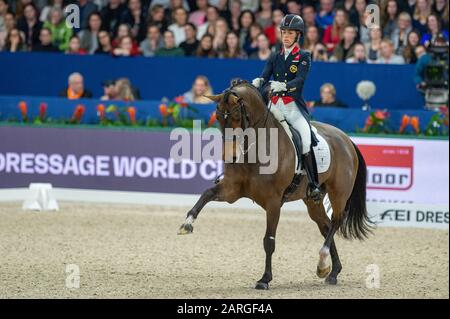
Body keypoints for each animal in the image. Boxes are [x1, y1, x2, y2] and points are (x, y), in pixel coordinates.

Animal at [178, 80, 374, 290]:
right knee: (325, 226)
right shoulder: (231, 191)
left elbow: (269, 241)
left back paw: (322, 263)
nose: (230, 156)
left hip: (339, 193)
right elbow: (206, 194)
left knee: (336, 221)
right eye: (218, 117)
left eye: (237, 116)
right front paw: (186, 224)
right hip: (312, 200)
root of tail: (346, 139)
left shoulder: (273, 202)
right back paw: (332, 271)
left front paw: (265, 279)